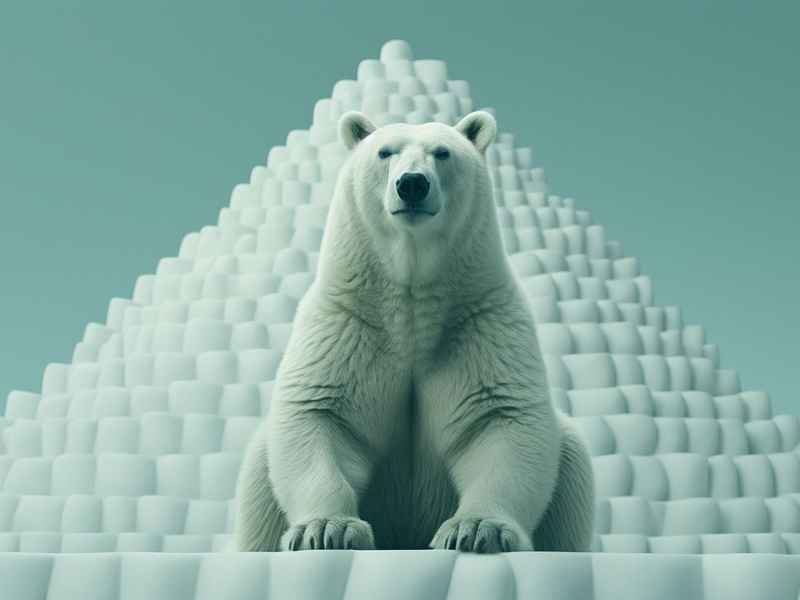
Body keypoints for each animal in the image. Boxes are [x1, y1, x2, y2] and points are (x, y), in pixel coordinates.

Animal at [231, 109, 595, 553]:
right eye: (384, 152)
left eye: (443, 153)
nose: (412, 184)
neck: (410, 308)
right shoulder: (347, 326)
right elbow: (321, 414)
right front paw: (327, 529)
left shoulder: (481, 325)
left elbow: (501, 421)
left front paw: (476, 530)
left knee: (572, 458)